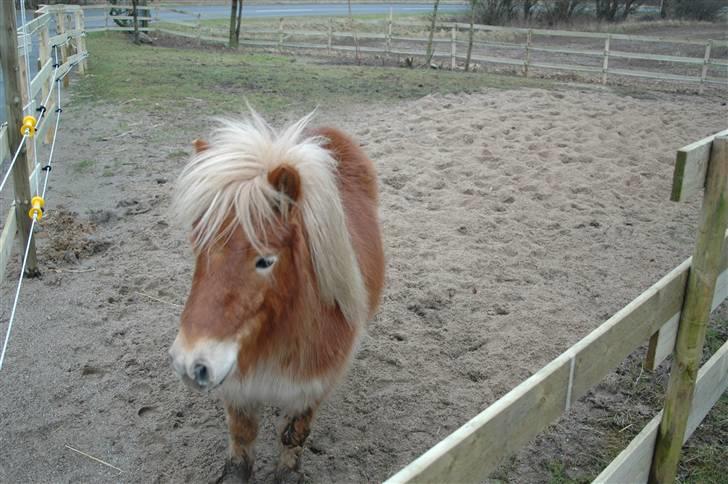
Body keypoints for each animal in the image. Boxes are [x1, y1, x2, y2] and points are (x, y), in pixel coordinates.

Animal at [168, 112, 384, 480]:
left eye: (265, 260)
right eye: (198, 248)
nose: (192, 363)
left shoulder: (310, 390)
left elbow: (293, 436)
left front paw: (288, 471)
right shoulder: (237, 390)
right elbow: (241, 440)